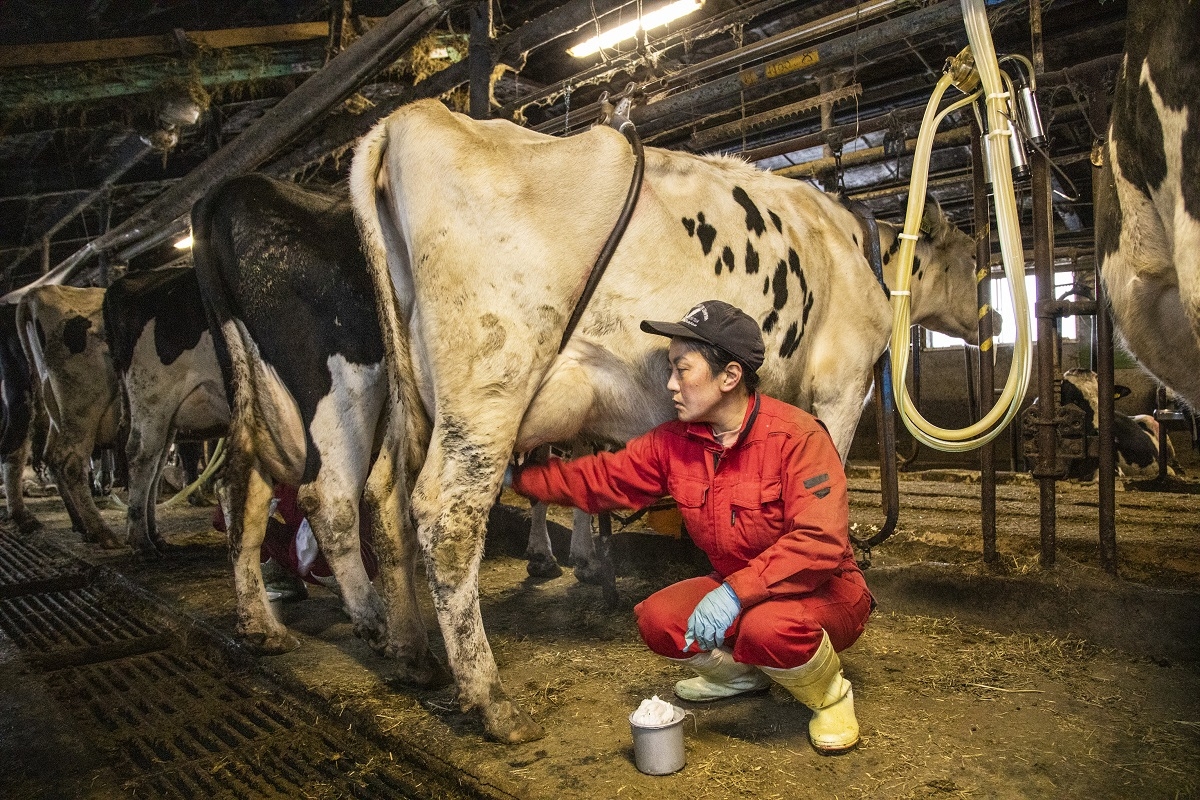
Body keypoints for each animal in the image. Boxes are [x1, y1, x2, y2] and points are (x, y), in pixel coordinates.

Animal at [16, 284, 123, 546]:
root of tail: (40, 291)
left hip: (56, 410)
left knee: (51, 456)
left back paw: (81, 525)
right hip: (83, 408)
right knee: (71, 462)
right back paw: (102, 532)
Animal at [102, 266, 230, 554]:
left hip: (167, 416)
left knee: (157, 462)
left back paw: (156, 535)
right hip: (153, 396)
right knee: (141, 454)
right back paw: (141, 540)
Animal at [190, 170, 441, 690]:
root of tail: (231, 188)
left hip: (250, 387)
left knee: (241, 494)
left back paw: (262, 629)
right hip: (346, 385)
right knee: (331, 497)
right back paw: (381, 626)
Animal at [350, 100, 998, 743]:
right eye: (972, 257)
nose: (990, 320)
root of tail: (413, 116)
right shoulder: (843, 382)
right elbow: (829, 477)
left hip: (414, 397)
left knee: (384, 495)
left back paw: (412, 654)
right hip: (490, 380)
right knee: (446, 514)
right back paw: (493, 701)